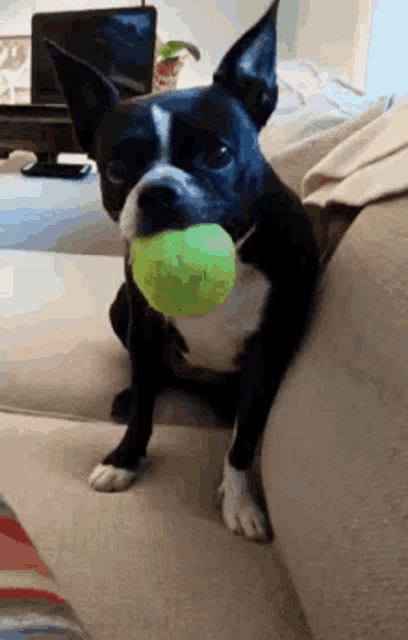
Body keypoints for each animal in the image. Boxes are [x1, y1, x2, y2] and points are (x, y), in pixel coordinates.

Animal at [44, 0, 318, 540]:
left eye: (219, 154)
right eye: (115, 170)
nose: (157, 191)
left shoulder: (269, 350)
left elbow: (244, 440)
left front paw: (241, 501)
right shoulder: (145, 323)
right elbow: (145, 408)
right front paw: (125, 460)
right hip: (121, 310)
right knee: (152, 376)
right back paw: (130, 393)